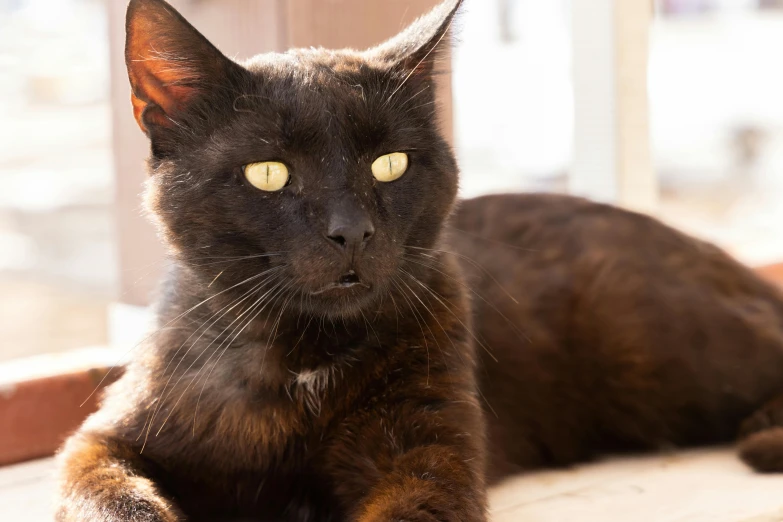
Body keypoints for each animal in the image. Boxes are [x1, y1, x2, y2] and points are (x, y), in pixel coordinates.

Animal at [56, 0, 783, 516]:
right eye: (269, 173)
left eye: (390, 163)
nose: (350, 232)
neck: (302, 358)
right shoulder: (102, 441)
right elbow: (117, 504)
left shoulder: (427, 456)